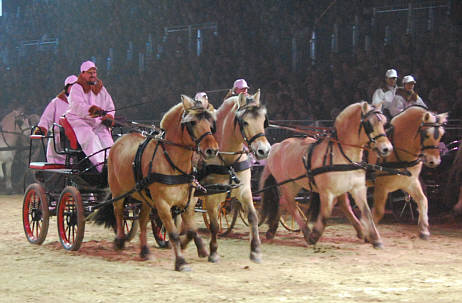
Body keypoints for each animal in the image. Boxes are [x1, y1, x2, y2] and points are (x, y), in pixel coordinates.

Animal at [107, 96, 219, 272]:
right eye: (192, 122)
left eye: (210, 122)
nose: (212, 150)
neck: (174, 163)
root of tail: (119, 140)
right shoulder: (163, 205)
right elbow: (173, 233)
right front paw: (181, 261)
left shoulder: (188, 203)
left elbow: (191, 229)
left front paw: (202, 249)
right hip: (118, 192)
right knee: (118, 212)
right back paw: (119, 240)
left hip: (145, 197)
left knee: (142, 220)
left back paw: (145, 251)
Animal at [199, 90, 270, 264]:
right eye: (244, 122)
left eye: (263, 121)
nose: (264, 151)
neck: (228, 161)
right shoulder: (211, 197)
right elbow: (214, 225)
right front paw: (213, 252)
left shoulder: (244, 191)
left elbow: (253, 217)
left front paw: (256, 250)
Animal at [258, 101, 392, 248]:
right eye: (368, 124)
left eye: (384, 122)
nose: (387, 148)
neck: (342, 155)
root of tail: (277, 146)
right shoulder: (327, 192)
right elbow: (325, 213)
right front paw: (314, 235)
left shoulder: (357, 188)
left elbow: (366, 211)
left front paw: (374, 238)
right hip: (287, 184)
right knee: (290, 204)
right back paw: (306, 232)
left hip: (295, 183)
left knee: (283, 203)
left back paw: (272, 231)